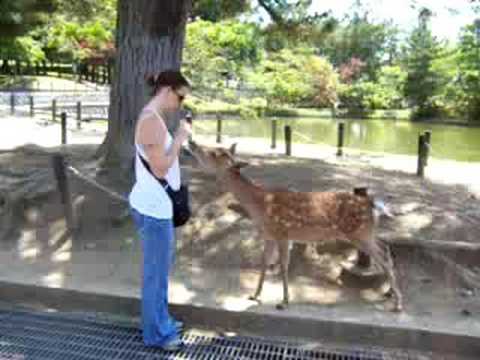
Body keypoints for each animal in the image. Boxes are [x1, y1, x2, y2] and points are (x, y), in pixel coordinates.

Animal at [189, 141, 404, 312]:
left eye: (215, 153)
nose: (192, 143)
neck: (260, 205)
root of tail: (371, 203)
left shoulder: (283, 233)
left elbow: (283, 266)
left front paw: (283, 302)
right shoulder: (269, 235)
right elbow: (265, 262)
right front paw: (255, 295)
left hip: (360, 233)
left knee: (384, 257)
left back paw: (398, 304)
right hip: (367, 232)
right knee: (386, 249)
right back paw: (389, 294)